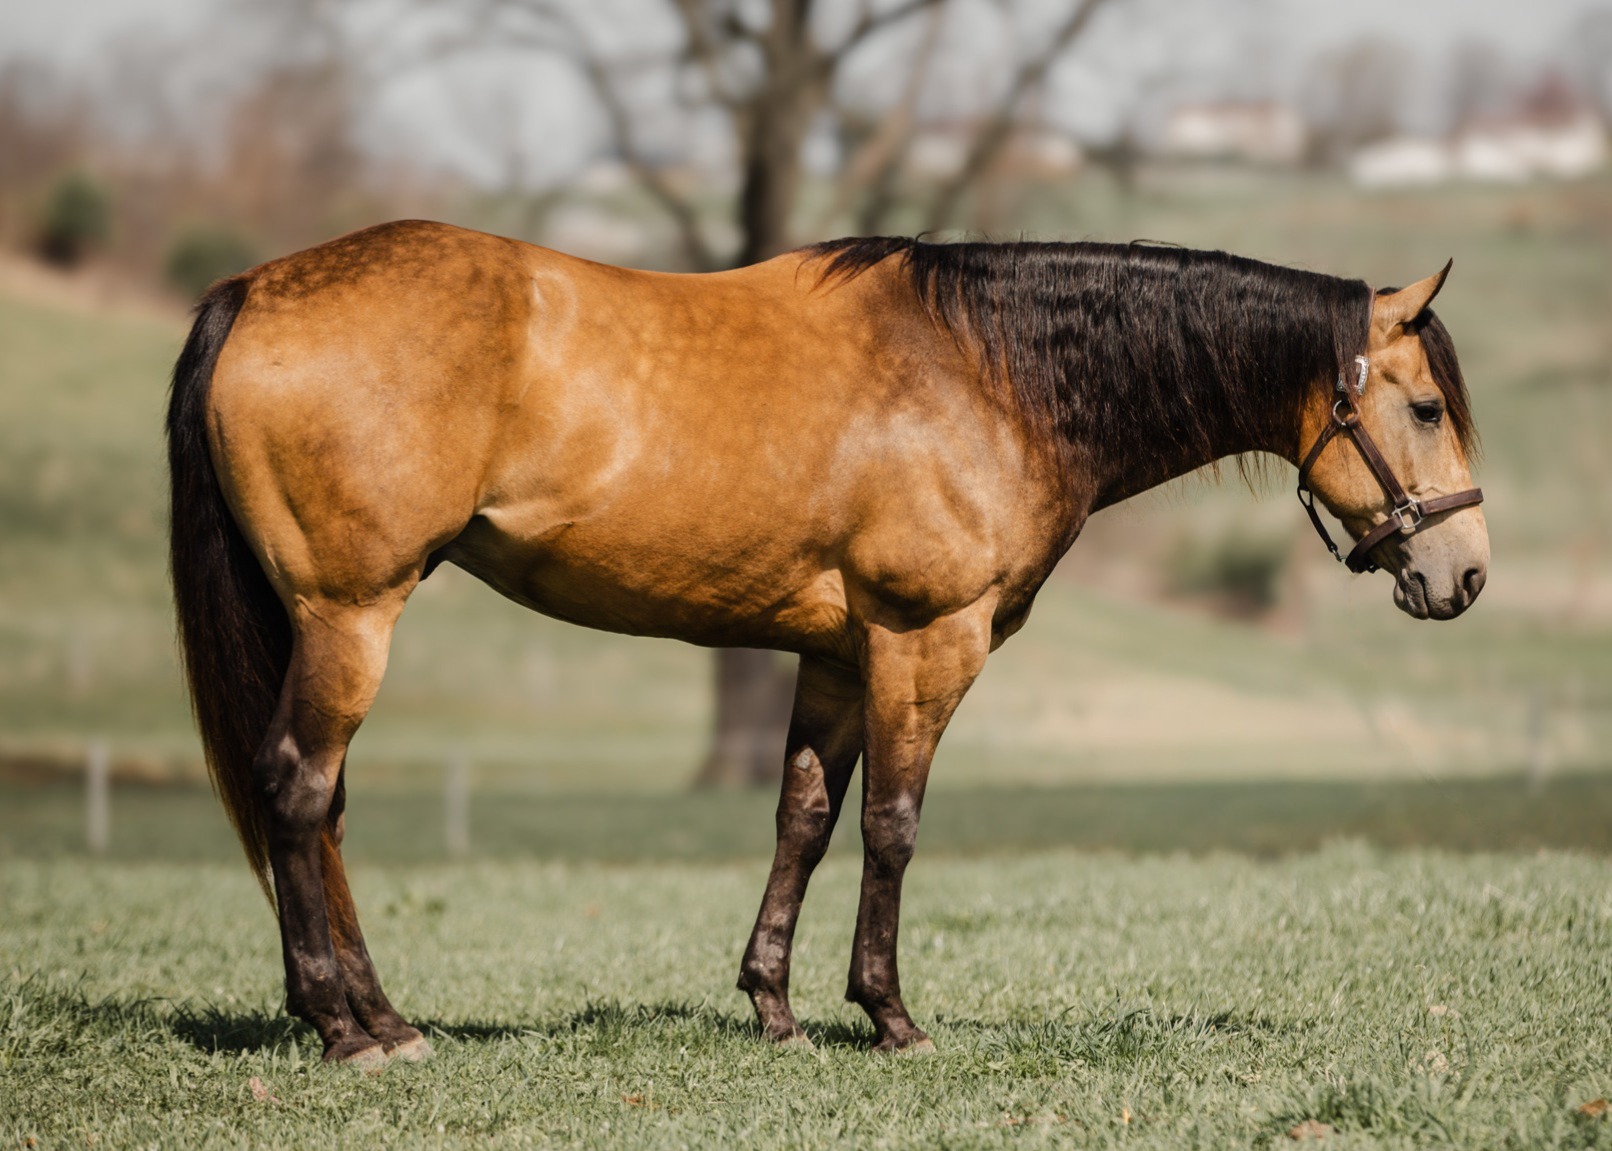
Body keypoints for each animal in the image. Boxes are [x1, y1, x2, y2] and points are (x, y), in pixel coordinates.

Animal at [166, 221, 1487, 1065]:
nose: (1465, 574)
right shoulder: (922, 642)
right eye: (1425, 407)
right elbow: (892, 825)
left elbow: (802, 816)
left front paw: (776, 1007)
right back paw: (345, 1027)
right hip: (351, 612)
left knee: (323, 806)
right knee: (298, 787)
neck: (988, 371)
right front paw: (888, 1015)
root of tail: (258, 286)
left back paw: (381, 1016)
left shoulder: (836, 655)